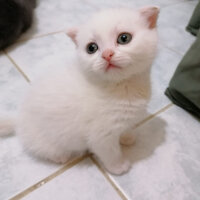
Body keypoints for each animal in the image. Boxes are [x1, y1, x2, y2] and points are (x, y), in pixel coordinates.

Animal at [0, 6, 159, 175]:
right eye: (92, 48)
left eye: (124, 38)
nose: (106, 54)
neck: (121, 87)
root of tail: (19, 119)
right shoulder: (101, 136)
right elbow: (110, 153)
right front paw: (119, 167)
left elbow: (125, 128)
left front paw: (127, 137)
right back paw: (61, 157)